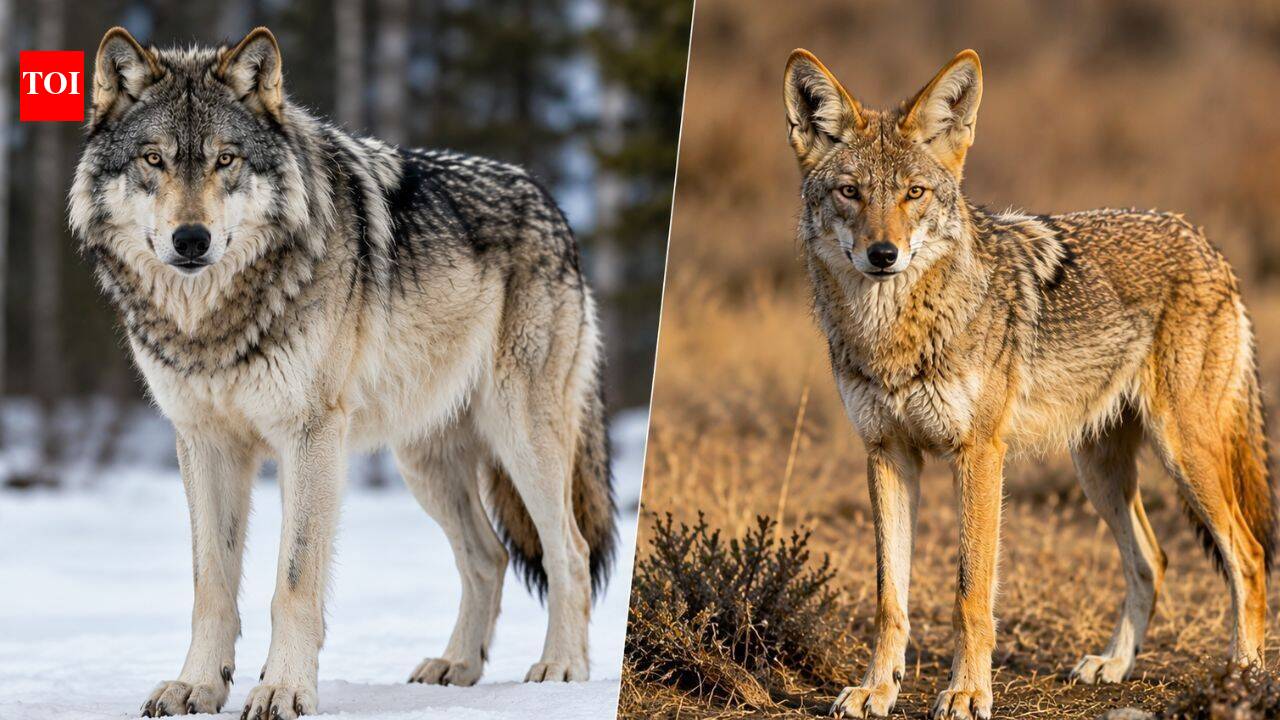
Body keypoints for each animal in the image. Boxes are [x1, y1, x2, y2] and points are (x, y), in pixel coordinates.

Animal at [69, 26, 617, 719]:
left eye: (226, 161)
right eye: (153, 159)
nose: (191, 239)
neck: (214, 321)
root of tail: (552, 203)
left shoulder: (310, 437)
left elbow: (294, 581)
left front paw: (282, 689)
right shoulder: (204, 443)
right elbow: (211, 584)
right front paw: (197, 685)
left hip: (523, 440)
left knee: (568, 551)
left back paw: (560, 667)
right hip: (425, 463)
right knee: (487, 557)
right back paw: (457, 665)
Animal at [783, 48, 1274, 719]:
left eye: (914, 193)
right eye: (850, 192)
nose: (883, 254)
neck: (895, 332)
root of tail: (1206, 243)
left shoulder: (979, 454)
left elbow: (970, 595)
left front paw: (966, 693)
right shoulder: (887, 454)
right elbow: (890, 598)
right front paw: (877, 689)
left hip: (1185, 454)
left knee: (1248, 557)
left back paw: (1244, 677)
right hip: (1099, 472)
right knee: (1153, 559)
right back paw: (1113, 665)